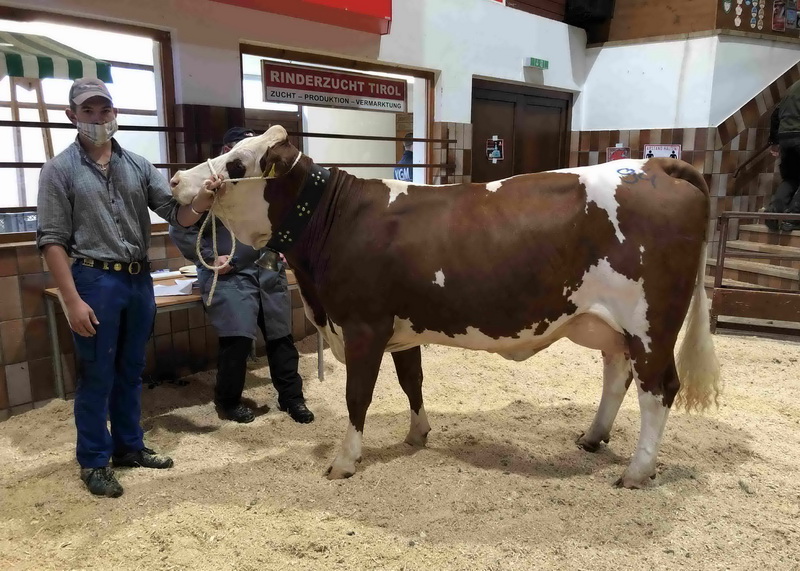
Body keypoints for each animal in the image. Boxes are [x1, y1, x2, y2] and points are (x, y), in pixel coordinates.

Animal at [172, 127, 720, 490]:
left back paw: (637, 471)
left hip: (650, 324)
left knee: (659, 389)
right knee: (617, 375)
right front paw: (418, 434)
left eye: (237, 164)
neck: (335, 221)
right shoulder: (401, 326)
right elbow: (411, 381)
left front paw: (345, 460)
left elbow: (357, 398)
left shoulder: (363, 325)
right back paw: (592, 437)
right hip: (611, 324)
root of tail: (653, 165)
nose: (176, 179)